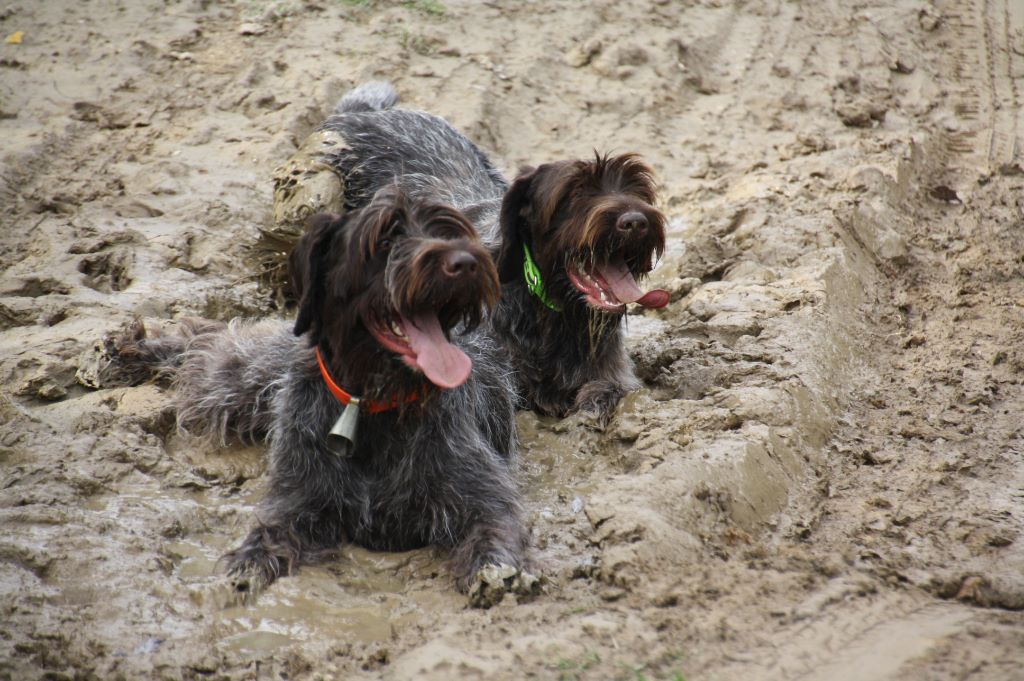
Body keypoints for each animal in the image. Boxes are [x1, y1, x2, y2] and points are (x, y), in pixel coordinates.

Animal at [104, 184, 536, 606]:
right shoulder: (295, 498)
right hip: (241, 380)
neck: (372, 405)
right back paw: (139, 350)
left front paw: (494, 568)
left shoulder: (481, 495)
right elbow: (267, 533)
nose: (465, 262)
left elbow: (493, 527)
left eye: (451, 232)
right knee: (207, 346)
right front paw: (246, 566)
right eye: (386, 239)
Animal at [284, 82, 671, 421]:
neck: (548, 311)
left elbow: (607, 390)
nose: (636, 221)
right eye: (574, 192)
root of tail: (360, 113)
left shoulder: (614, 375)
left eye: (637, 188)